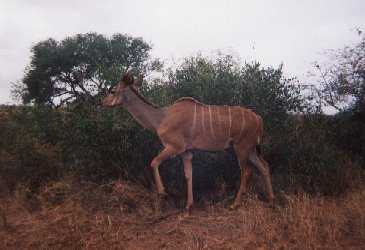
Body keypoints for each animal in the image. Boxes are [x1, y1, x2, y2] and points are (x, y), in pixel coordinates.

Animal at [101, 72, 272, 211]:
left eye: (112, 91)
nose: (101, 102)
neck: (161, 118)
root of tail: (259, 119)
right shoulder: (187, 152)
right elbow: (188, 174)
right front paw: (189, 205)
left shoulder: (174, 147)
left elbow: (154, 162)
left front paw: (163, 193)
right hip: (251, 149)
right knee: (264, 166)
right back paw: (271, 199)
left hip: (241, 147)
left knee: (247, 171)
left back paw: (234, 204)